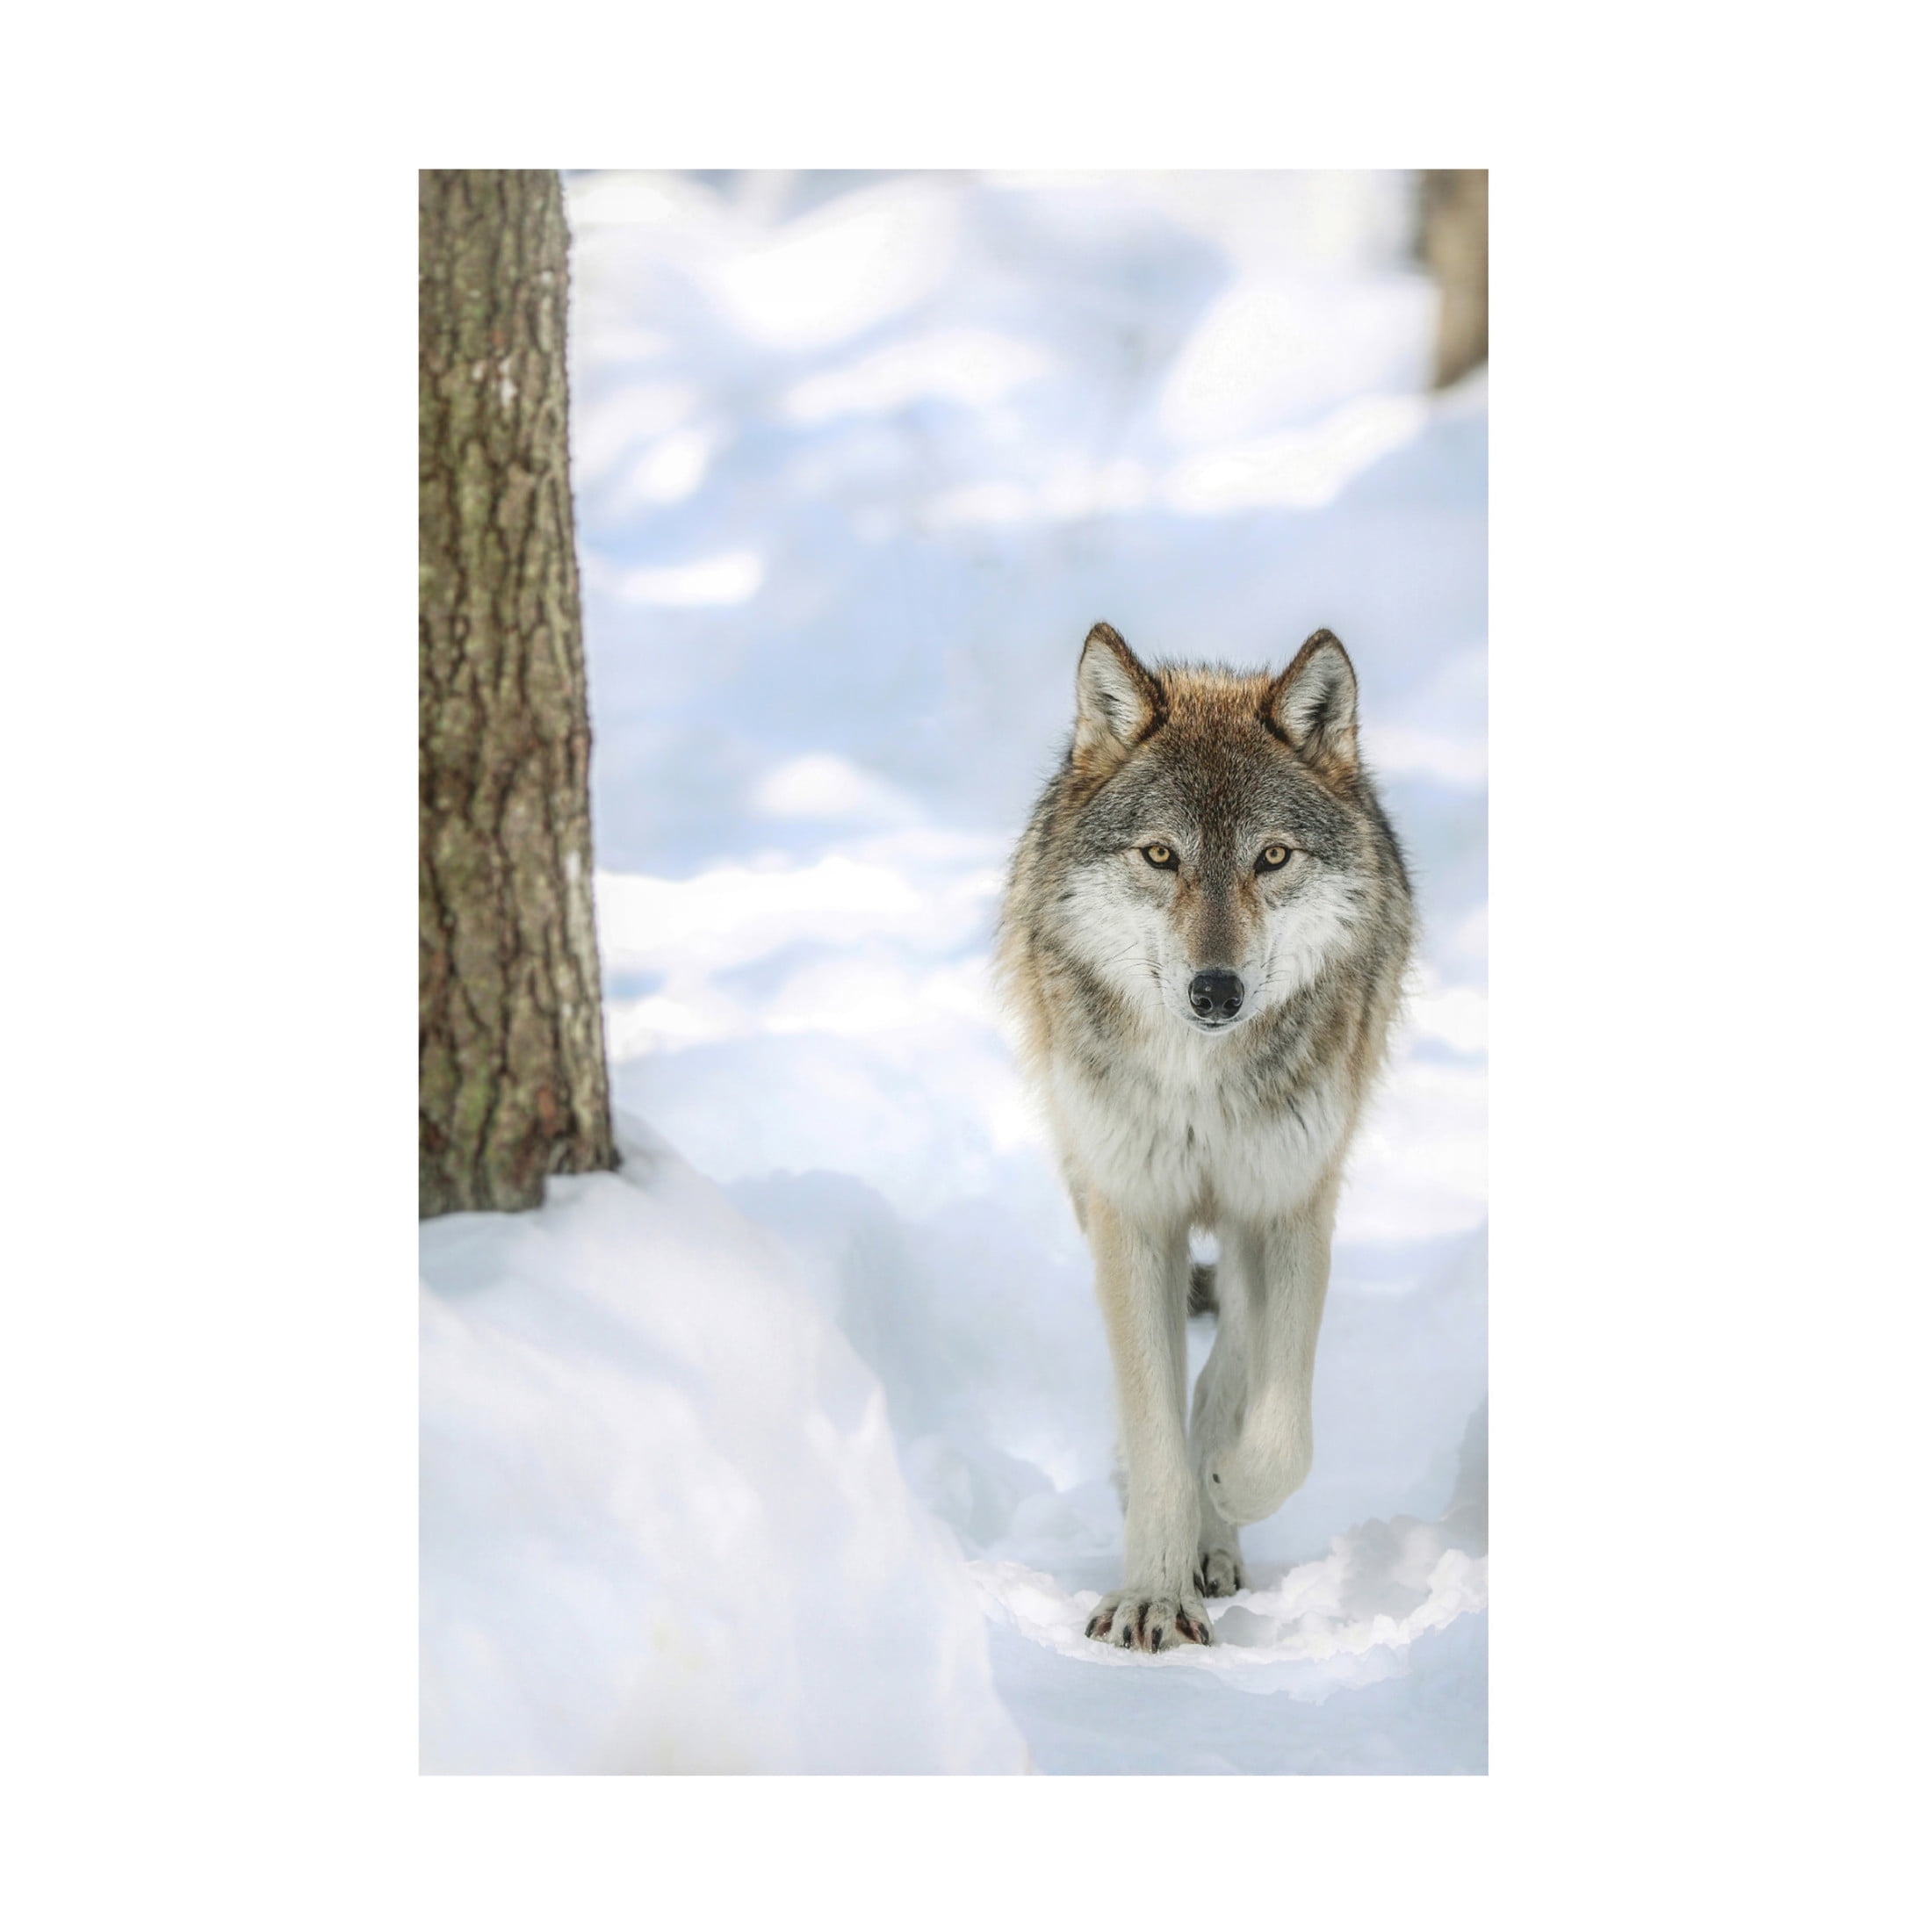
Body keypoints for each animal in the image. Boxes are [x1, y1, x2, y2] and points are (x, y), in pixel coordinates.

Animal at [996, 622, 1414, 1650]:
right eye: (1160, 855)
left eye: (1271, 857)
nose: (1215, 991)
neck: (1202, 1083)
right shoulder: (1134, 1213)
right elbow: (1152, 1426)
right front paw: (1151, 1593)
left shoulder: (1291, 1204)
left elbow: (1281, 1429)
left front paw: (1223, 1488)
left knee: (1235, 1353)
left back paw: (1215, 1526)